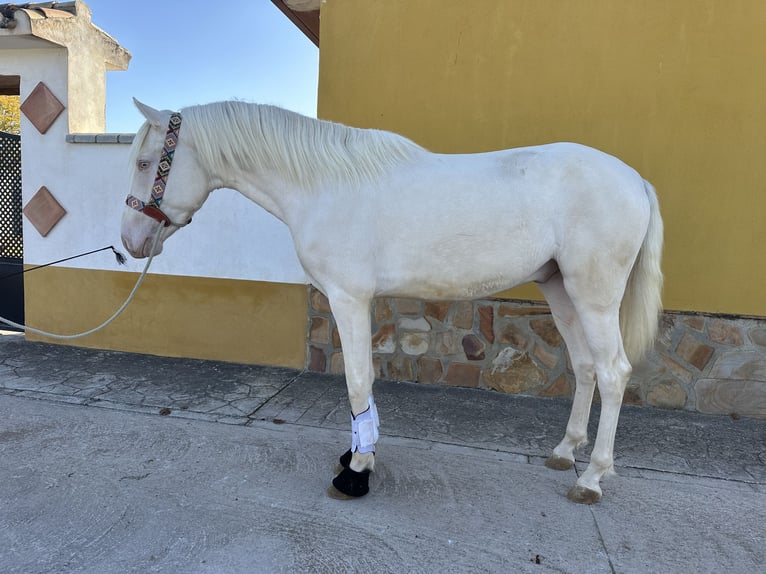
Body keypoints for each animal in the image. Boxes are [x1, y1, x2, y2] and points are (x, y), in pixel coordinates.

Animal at [123, 101, 664, 506]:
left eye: (145, 163)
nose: (130, 241)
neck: (325, 185)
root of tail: (635, 179)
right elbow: (361, 380)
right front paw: (355, 456)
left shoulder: (348, 297)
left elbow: (357, 379)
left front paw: (358, 471)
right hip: (560, 291)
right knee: (586, 367)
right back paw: (564, 452)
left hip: (593, 296)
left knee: (613, 372)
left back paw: (590, 478)